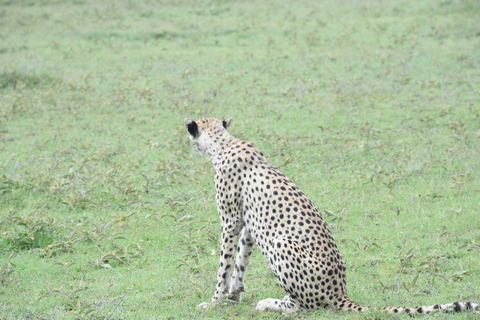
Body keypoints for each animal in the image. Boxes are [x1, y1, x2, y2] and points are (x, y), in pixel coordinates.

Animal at [183, 116, 476, 314]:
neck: (224, 143)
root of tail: (340, 292)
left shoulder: (230, 222)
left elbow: (224, 265)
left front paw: (215, 302)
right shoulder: (246, 225)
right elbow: (241, 264)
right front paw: (233, 297)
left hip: (280, 243)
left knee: (305, 307)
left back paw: (271, 303)